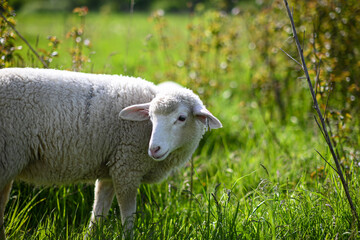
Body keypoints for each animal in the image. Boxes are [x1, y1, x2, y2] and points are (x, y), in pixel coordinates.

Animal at [0, 67, 222, 238]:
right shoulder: (127, 167)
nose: (154, 149)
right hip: (7, 157)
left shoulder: (109, 170)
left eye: (182, 118)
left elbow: (98, 214)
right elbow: (128, 216)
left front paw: (90, 236)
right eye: (150, 117)